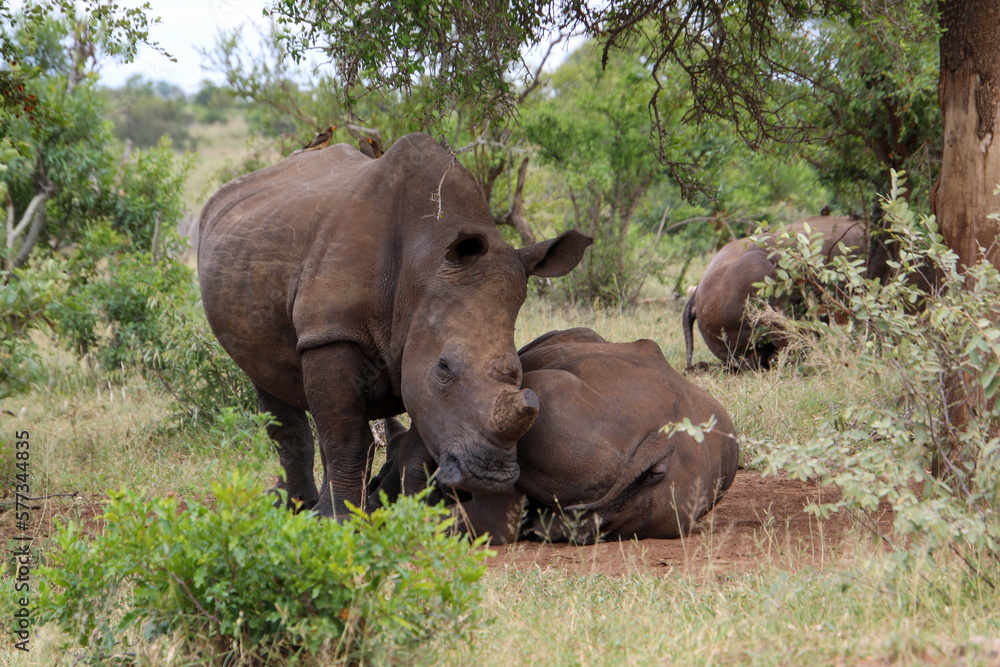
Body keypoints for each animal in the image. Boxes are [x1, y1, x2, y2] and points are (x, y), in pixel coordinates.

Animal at [198, 133, 591, 518]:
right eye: (444, 368)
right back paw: (300, 506)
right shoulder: (331, 333)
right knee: (269, 383)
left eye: (518, 371)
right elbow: (347, 437)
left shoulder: (417, 355)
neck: (423, 269)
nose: (489, 477)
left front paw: (410, 514)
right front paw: (339, 521)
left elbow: (416, 442)